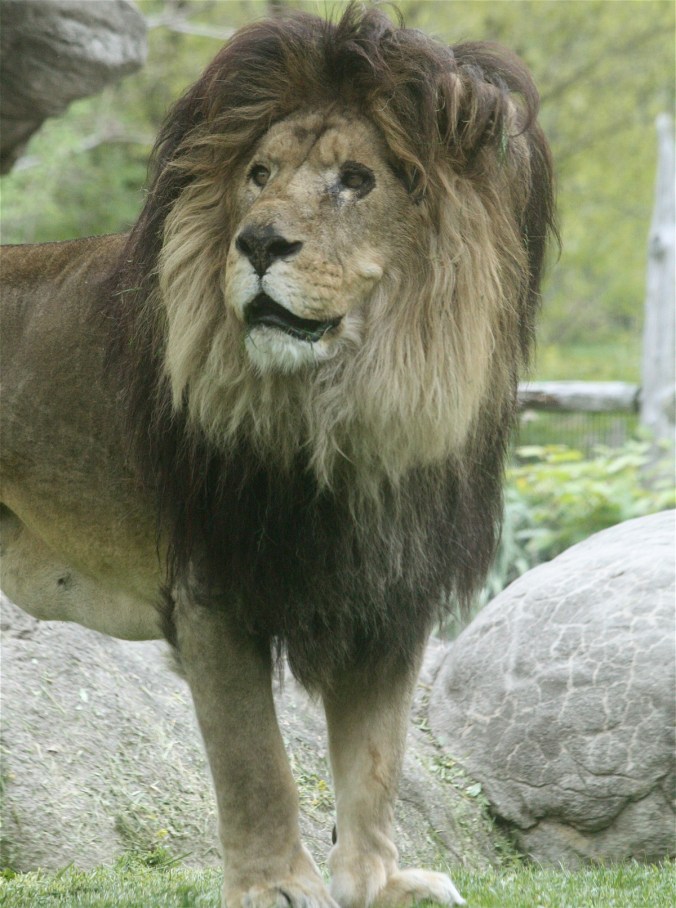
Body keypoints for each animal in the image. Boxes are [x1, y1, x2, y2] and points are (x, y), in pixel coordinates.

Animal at [0, 5, 555, 906]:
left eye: (357, 180)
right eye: (258, 174)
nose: (258, 242)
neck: (349, 414)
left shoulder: (389, 595)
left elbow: (376, 760)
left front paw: (379, 882)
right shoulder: (216, 589)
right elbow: (257, 763)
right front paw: (277, 888)